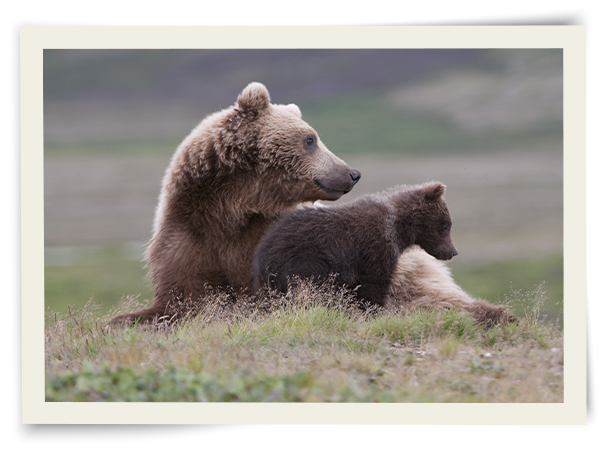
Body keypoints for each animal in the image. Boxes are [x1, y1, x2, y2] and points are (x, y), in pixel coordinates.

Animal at [109, 82, 360, 324]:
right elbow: (179, 297)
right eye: (310, 140)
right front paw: (123, 320)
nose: (352, 173)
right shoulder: (188, 236)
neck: (230, 209)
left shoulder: (266, 236)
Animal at [254, 181, 458, 308]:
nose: (453, 252)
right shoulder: (375, 248)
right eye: (446, 225)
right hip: (303, 261)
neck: (398, 228)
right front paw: (373, 310)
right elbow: (373, 286)